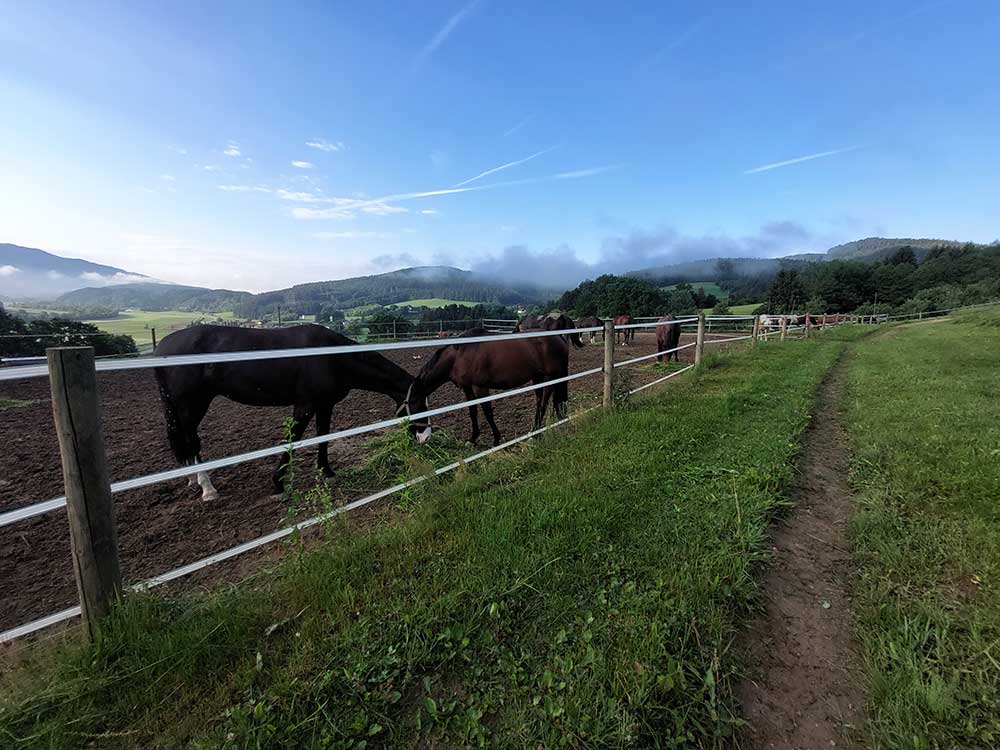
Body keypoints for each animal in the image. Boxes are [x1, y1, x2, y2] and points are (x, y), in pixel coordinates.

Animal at [154, 326, 428, 502]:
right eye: (417, 404)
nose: (425, 437)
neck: (331, 356)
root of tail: (162, 349)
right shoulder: (304, 407)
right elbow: (292, 441)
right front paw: (278, 482)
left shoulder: (325, 405)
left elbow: (323, 437)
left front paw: (326, 472)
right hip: (192, 405)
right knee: (192, 441)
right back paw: (207, 488)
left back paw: (192, 479)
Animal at [412, 316, 584, 446]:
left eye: (417, 409)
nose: (422, 438)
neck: (460, 354)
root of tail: (558, 336)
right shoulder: (467, 388)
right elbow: (472, 411)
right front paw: (472, 439)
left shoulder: (479, 387)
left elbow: (487, 412)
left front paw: (496, 439)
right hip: (538, 377)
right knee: (543, 399)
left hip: (550, 376)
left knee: (544, 401)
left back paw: (535, 432)